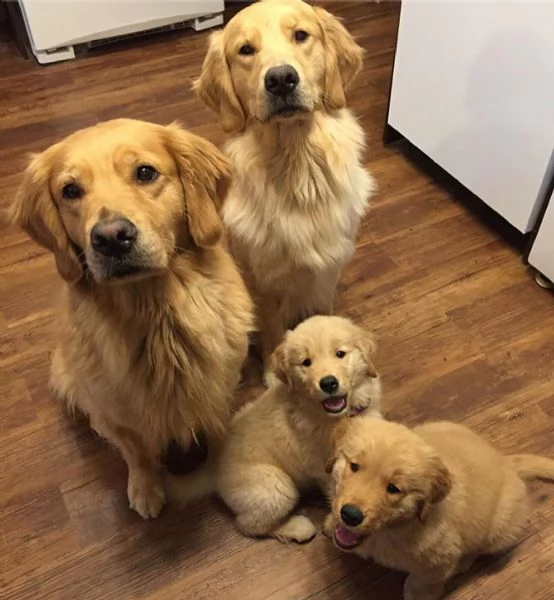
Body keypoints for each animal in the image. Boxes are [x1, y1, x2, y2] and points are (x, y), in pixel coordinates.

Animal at [10, 118, 252, 520]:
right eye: (70, 190)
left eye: (145, 173)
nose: (111, 238)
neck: (156, 314)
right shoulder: (116, 413)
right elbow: (136, 453)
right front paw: (146, 488)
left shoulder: (222, 383)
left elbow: (219, 427)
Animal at [168, 316, 382, 540]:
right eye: (306, 362)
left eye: (340, 353)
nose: (328, 383)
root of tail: (213, 465)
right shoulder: (324, 467)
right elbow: (337, 492)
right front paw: (336, 525)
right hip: (277, 487)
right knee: (248, 526)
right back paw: (296, 527)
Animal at [192, 0, 374, 382]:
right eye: (245, 50)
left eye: (301, 35)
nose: (280, 80)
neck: (298, 169)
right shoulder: (264, 281)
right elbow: (274, 332)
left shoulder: (326, 274)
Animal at [324, 418, 552, 600]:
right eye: (354, 466)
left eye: (393, 488)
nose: (350, 515)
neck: (395, 528)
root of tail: (506, 461)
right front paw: (330, 523)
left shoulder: (438, 562)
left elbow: (423, 582)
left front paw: (416, 594)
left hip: (499, 529)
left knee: (478, 549)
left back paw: (462, 563)